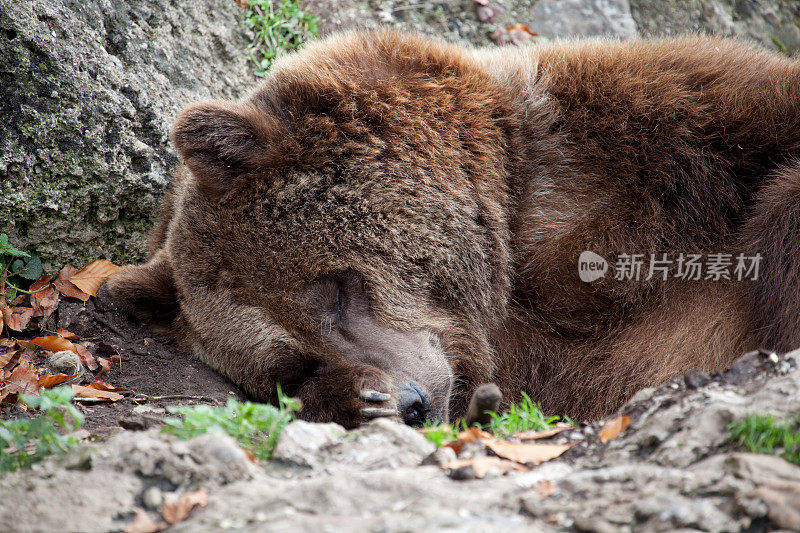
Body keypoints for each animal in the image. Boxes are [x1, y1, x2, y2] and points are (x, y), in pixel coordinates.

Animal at [108, 30, 800, 428]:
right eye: (292, 360)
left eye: (334, 287)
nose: (412, 403)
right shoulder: (543, 361)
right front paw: (356, 394)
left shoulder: (664, 127)